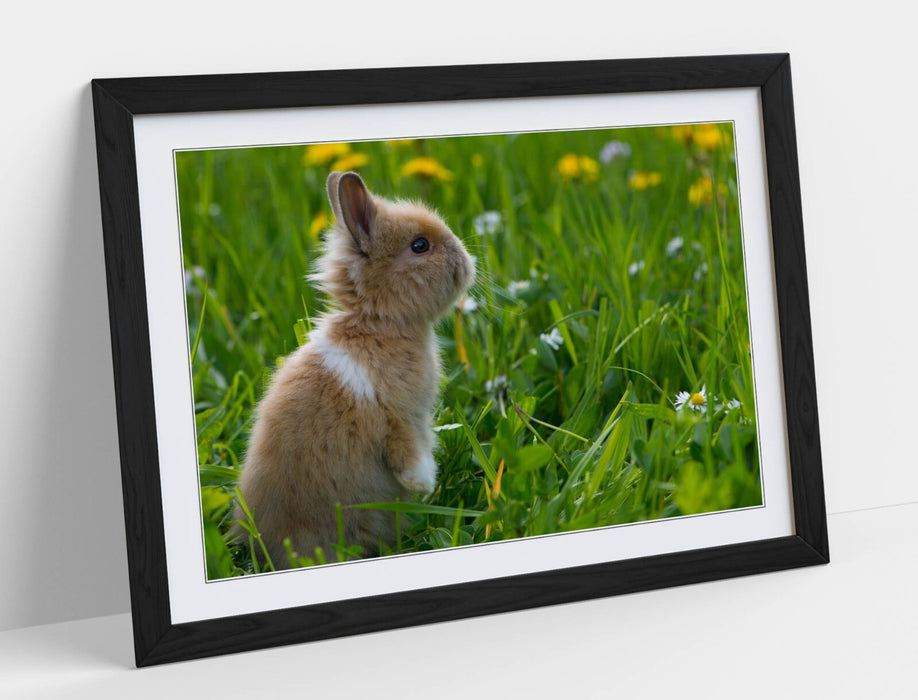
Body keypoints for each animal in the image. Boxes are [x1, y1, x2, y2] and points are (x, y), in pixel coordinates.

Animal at [234, 170, 475, 569]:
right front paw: (424, 484)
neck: (377, 325)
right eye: (420, 245)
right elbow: (409, 453)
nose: (467, 262)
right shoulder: (403, 417)